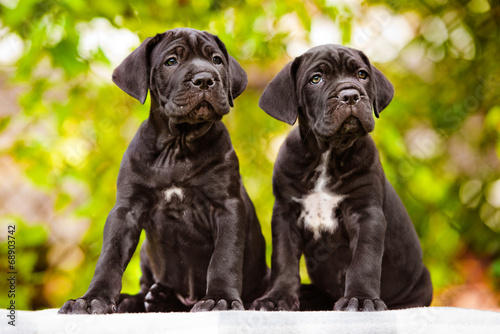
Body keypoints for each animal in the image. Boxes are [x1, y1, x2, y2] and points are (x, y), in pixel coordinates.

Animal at [57, 28, 270, 314]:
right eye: (171, 61)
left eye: (216, 60)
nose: (205, 79)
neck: (177, 146)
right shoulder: (126, 210)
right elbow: (110, 257)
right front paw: (92, 299)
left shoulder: (227, 207)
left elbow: (224, 258)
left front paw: (220, 299)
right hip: (146, 252)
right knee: (145, 285)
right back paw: (141, 299)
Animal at [252, 43, 432, 310]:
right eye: (316, 79)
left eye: (362, 74)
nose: (350, 95)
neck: (328, 154)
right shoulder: (285, 214)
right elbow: (284, 259)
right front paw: (277, 297)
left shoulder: (366, 213)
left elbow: (364, 261)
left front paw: (361, 299)